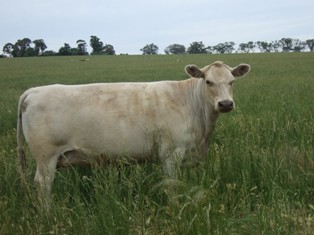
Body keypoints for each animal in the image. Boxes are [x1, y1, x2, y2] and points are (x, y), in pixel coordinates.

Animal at [16, 61, 250, 200]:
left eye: (232, 82)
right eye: (208, 81)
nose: (226, 104)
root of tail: (34, 90)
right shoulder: (171, 153)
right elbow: (172, 185)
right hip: (46, 156)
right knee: (43, 184)